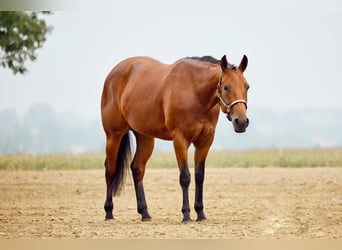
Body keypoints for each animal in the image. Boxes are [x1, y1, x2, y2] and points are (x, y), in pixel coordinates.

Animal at [100, 54, 250, 223]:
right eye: (226, 87)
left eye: (247, 87)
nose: (241, 122)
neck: (194, 92)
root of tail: (112, 74)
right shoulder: (180, 140)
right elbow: (185, 177)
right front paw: (186, 215)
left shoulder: (205, 142)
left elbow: (199, 176)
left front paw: (200, 214)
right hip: (113, 135)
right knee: (110, 169)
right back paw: (109, 213)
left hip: (145, 138)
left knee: (137, 168)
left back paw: (145, 213)